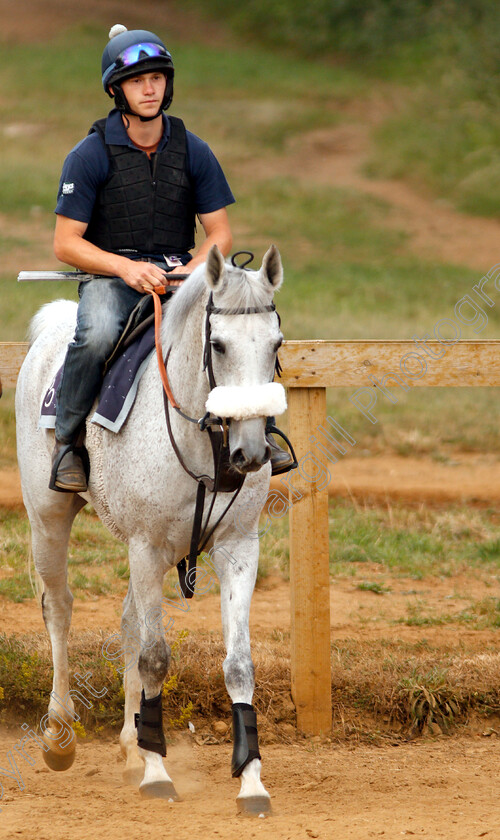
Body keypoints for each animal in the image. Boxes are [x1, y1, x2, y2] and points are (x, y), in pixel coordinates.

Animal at [15, 246, 288, 816]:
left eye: (276, 344)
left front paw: (251, 780)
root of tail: (56, 324)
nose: (251, 452)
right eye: (219, 344)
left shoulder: (237, 548)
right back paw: (59, 733)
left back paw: (129, 742)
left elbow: (238, 664)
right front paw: (158, 773)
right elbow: (155, 658)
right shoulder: (146, 546)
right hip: (48, 520)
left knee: (126, 622)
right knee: (59, 608)